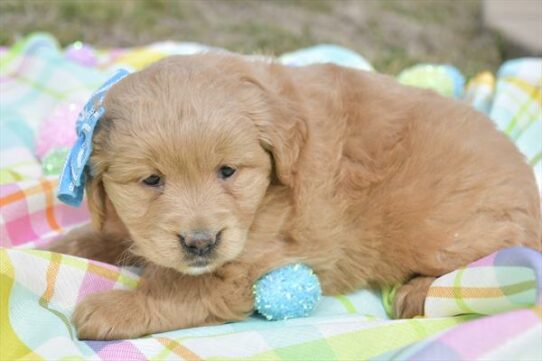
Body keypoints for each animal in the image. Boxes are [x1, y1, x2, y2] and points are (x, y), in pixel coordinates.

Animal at [49, 52, 540, 338]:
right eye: (151, 181)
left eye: (227, 171)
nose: (200, 243)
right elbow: (106, 234)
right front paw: (59, 244)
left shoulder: (249, 262)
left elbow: (186, 289)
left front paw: (115, 309)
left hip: (445, 232)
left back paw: (417, 294)